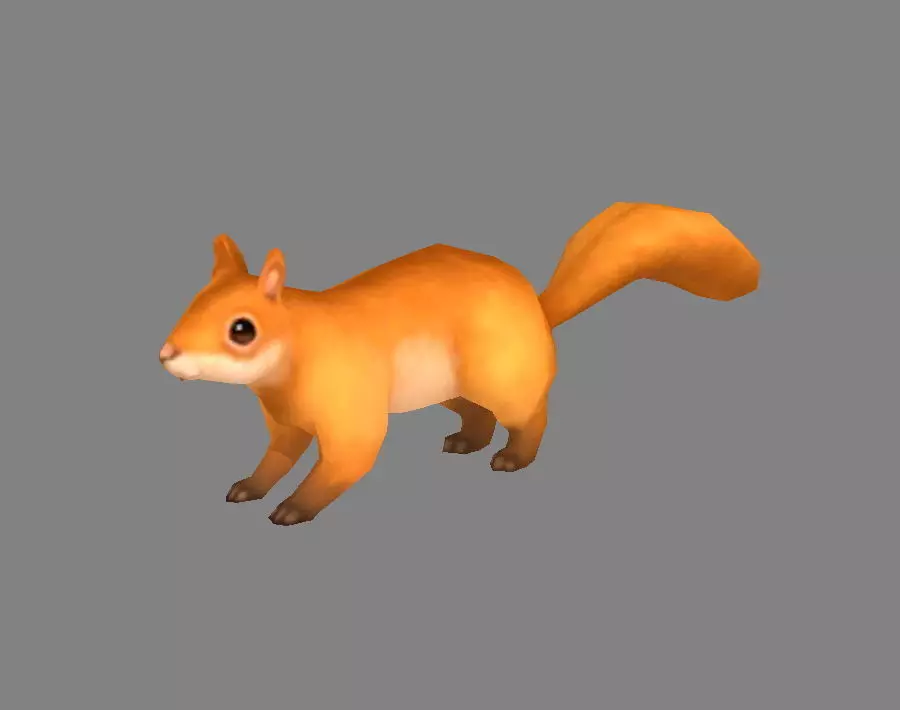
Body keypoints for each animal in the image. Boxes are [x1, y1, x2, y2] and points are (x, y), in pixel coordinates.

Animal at [160, 202, 759, 526]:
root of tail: (536, 311)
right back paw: (467, 441)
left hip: (501, 377)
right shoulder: (285, 423)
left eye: (243, 329)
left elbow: (345, 462)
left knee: (529, 415)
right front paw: (249, 486)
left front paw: (294, 508)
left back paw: (514, 456)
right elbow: (277, 458)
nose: (166, 354)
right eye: (193, 302)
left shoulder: (349, 410)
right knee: (478, 415)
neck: (293, 356)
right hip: (445, 387)